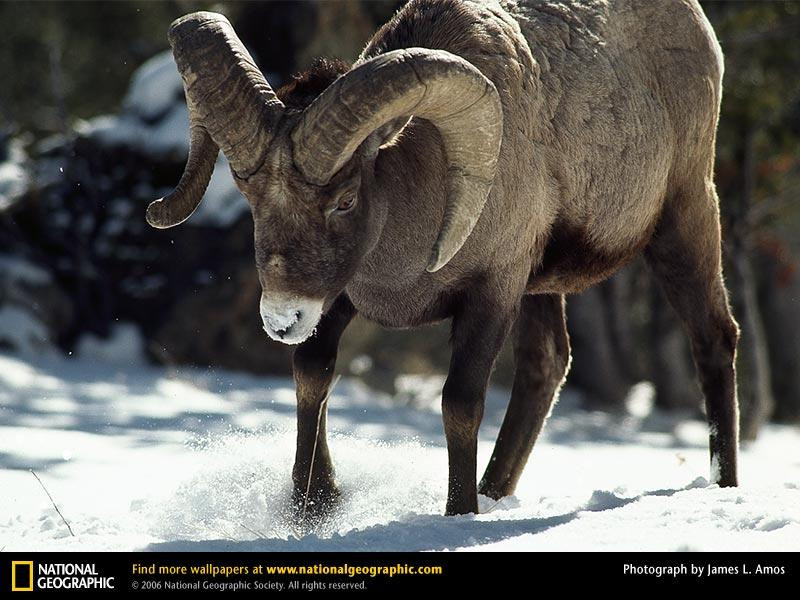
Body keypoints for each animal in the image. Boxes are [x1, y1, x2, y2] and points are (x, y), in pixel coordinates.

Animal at [148, 0, 736, 516]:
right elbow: (312, 375)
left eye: (345, 200)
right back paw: (494, 493)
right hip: (542, 289)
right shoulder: (340, 299)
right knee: (546, 366)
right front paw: (312, 504)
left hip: (684, 219)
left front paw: (458, 513)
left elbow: (460, 405)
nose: (282, 318)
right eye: (247, 194)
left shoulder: (491, 296)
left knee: (713, 338)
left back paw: (723, 485)